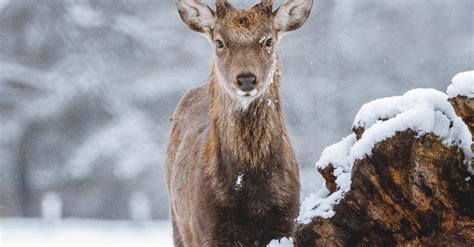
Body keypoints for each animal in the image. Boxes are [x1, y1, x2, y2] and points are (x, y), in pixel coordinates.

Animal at [165, 0, 312, 246]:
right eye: (219, 42)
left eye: (268, 40)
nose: (246, 79)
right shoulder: (207, 230)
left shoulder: (287, 221)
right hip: (178, 223)